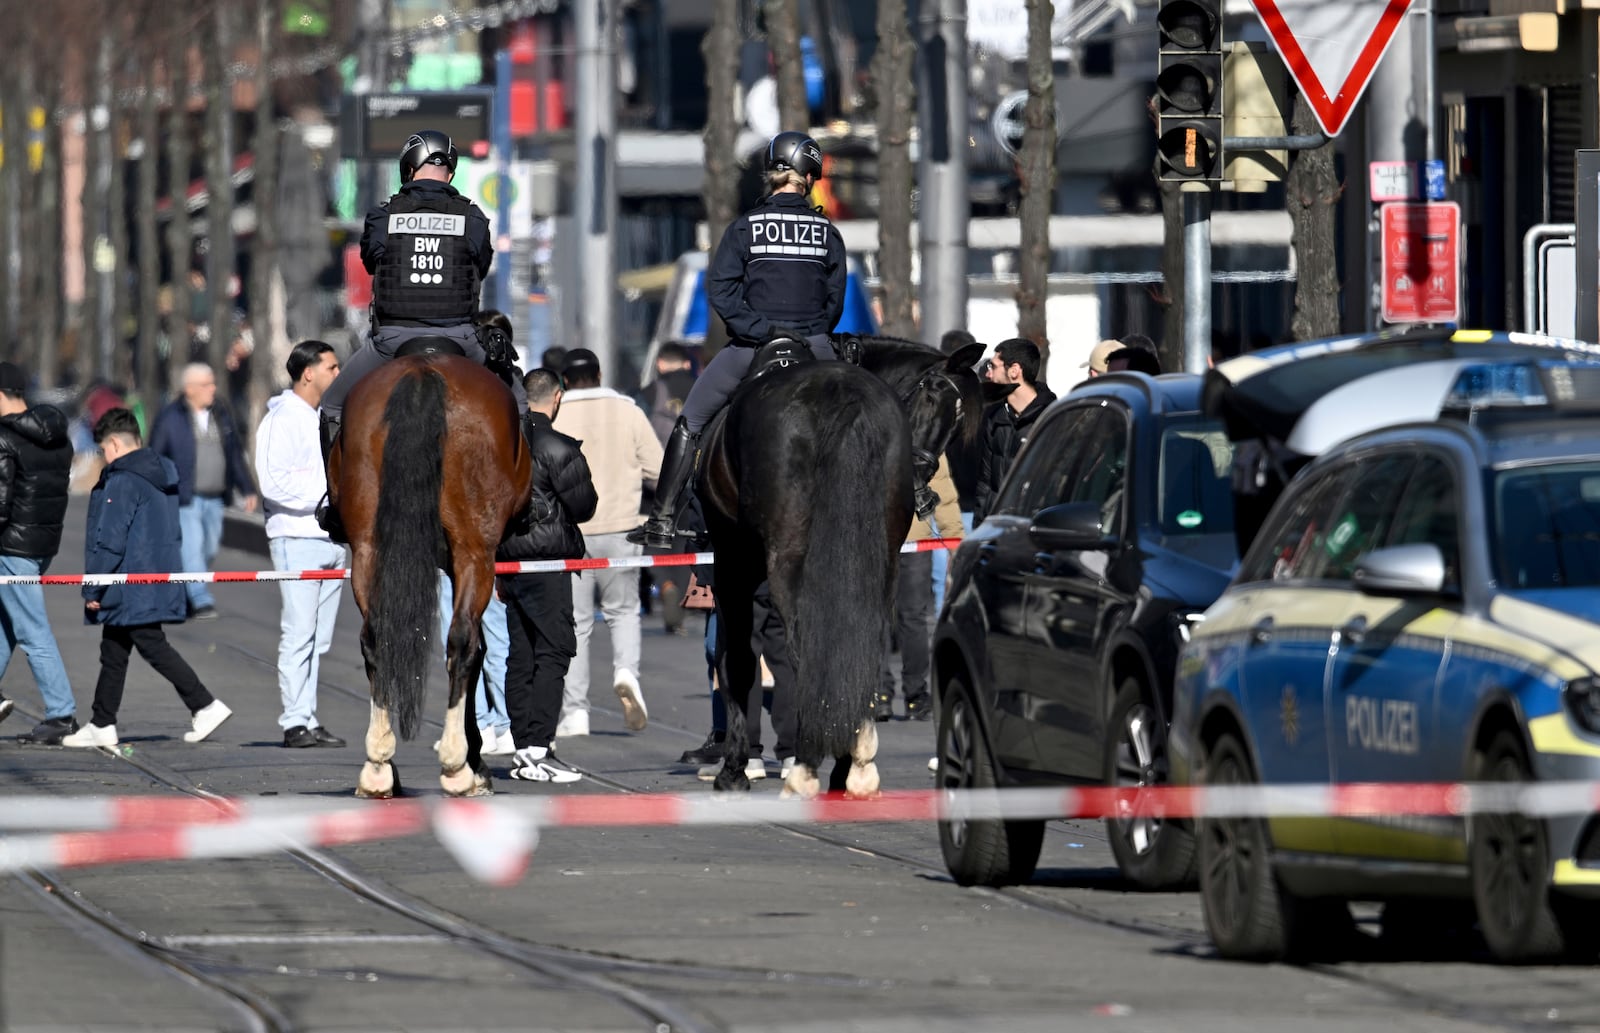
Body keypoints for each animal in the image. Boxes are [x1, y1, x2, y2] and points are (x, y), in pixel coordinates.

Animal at [328, 351, 534, 796]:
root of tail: (422, 370)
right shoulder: (468, 559)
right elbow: (476, 647)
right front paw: (475, 762)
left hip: (369, 546)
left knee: (377, 637)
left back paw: (378, 767)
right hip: (475, 551)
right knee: (462, 640)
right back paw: (457, 766)